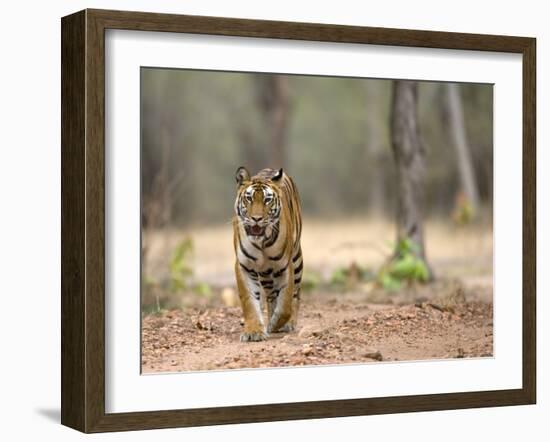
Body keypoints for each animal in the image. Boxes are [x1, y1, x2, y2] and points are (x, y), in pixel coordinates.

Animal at [234, 166, 306, 342]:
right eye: (249, 198)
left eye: (267, 200)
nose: (256, 218)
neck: (262, 242)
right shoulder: (244, 266)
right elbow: (249, 301)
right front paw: (253, 331)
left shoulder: (285, 266)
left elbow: (285, 303)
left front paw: (275, 324)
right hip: (265, 273)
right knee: (271, 295)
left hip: (297, 259)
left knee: (296, 293)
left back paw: (288, 323)